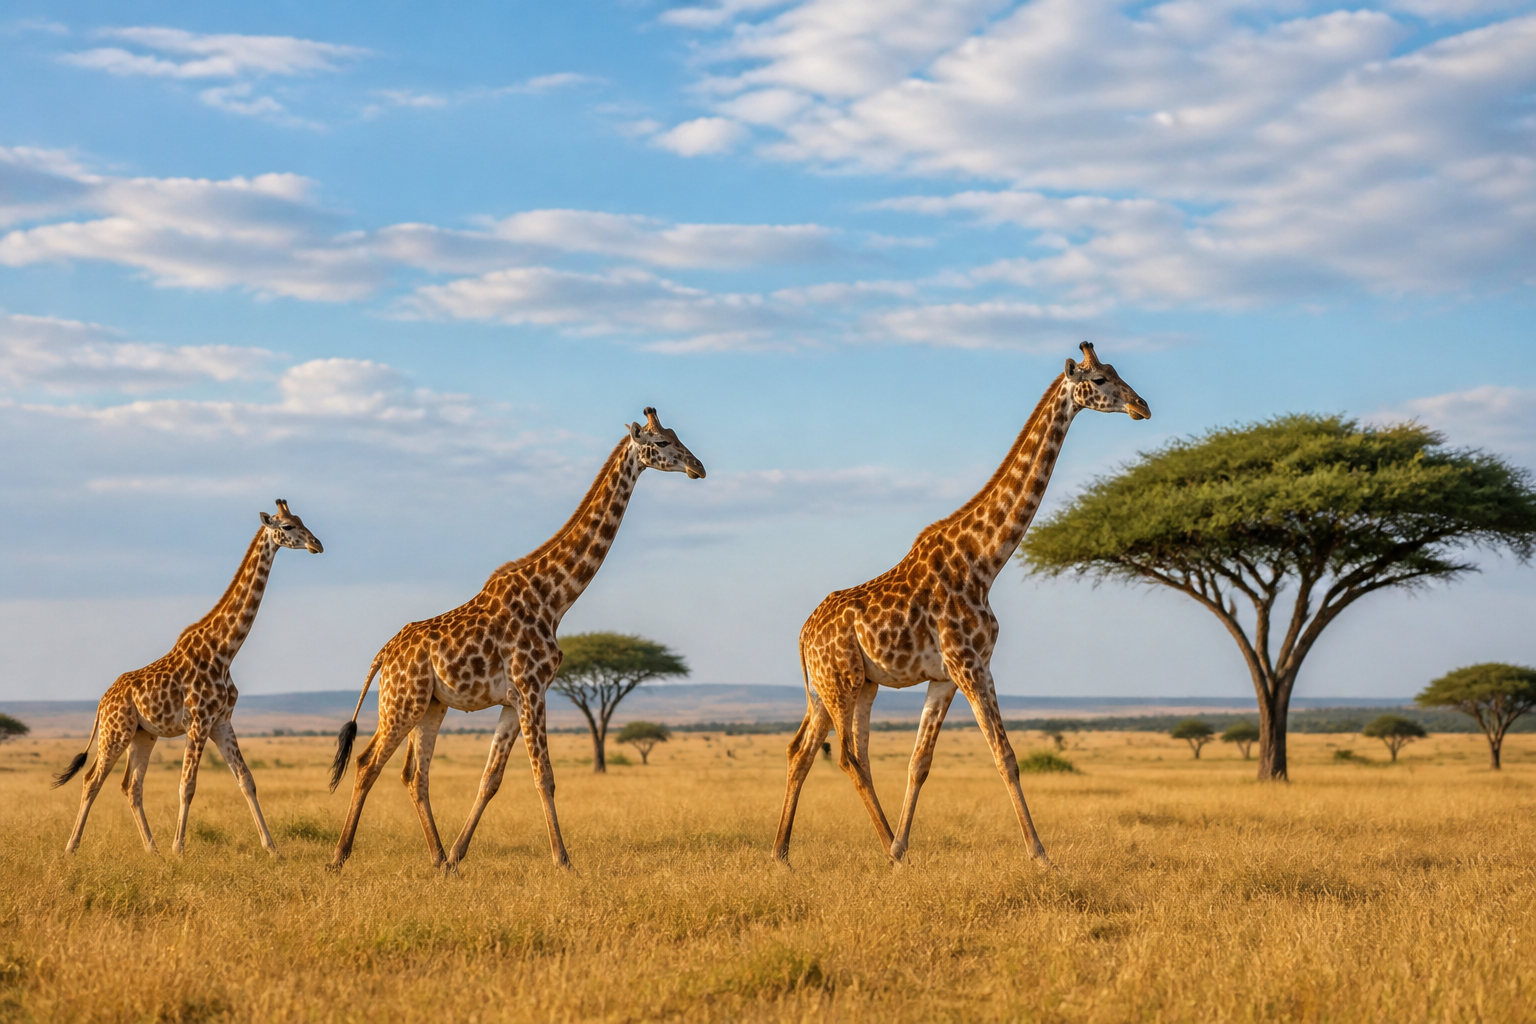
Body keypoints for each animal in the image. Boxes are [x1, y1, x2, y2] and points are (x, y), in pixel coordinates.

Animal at [53, 499, 324, 857]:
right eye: (289, 526)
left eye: (302, 520)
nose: (317, 544)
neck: (224, 650)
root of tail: (101, 702)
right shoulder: (198, 722)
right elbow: (187, 785)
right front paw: (178, 849)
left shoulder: (221, 722)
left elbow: (247, 780)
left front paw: (273, 849)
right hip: (116, 732)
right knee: (92, 780)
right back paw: (72, 848)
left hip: (143, 735)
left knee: (130, 785)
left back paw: (151, 849)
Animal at [326, 407, 706, 872]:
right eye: (664, 443)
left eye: (677, 436)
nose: (698, 467)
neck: (554, 597)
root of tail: (384, 654)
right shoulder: (532, 688)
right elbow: (544, 777)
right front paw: (564, 860)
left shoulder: (512, 699)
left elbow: (491, 778)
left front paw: (458, 857)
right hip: (401, 702)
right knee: (367, 764)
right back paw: (339, 856)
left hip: (430, 706)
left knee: (414, 776)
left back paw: (437, 857)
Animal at [773, 343, 1150, 868]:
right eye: (1097, 379)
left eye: (1116, 372)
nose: (1142, 406)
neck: (983, 560)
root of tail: (804, 634)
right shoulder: (966, 664)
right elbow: (1004, 756)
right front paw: (1040, 855)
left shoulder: (955, 674)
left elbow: (921, 762)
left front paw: (903, 847)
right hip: (841, 682)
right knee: (846, 755)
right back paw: (880, 848)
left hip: (844, 687)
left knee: (806, 751)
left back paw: (787, 854)